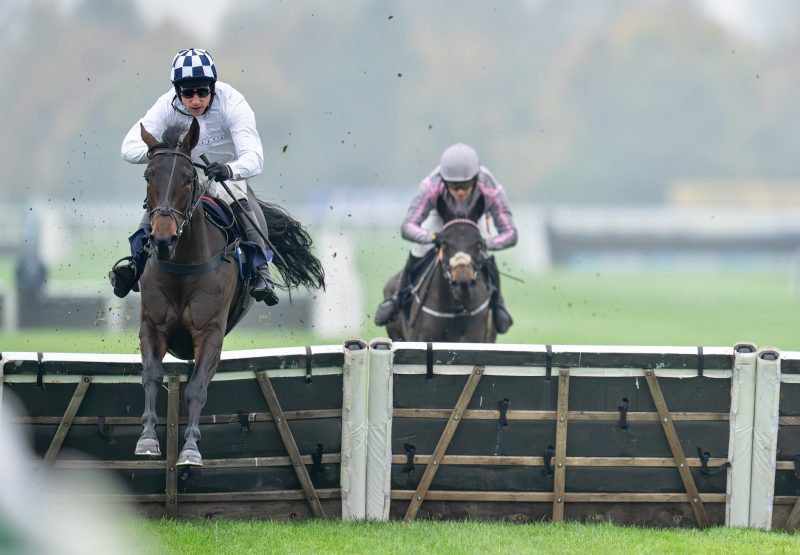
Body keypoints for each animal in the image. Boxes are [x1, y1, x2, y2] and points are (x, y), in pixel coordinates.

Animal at [133, 119, 324, 466]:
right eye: (148, 176)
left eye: (188, 177)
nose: (164, 239)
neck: (182, 262)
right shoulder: (152, 325)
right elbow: (151, 375)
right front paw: (148, 439)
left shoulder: (210, 331)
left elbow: (196, 387)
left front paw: (190, 449)